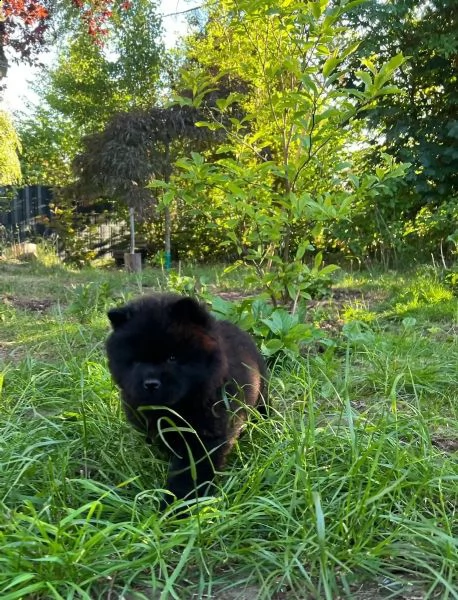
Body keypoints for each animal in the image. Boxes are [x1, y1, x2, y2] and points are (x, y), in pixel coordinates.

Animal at [105, 294, 266, 502]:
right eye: (137, 361)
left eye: (172, 358)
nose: (150, 383)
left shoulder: (204, 438)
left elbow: (189, 474)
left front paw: (179, 504)